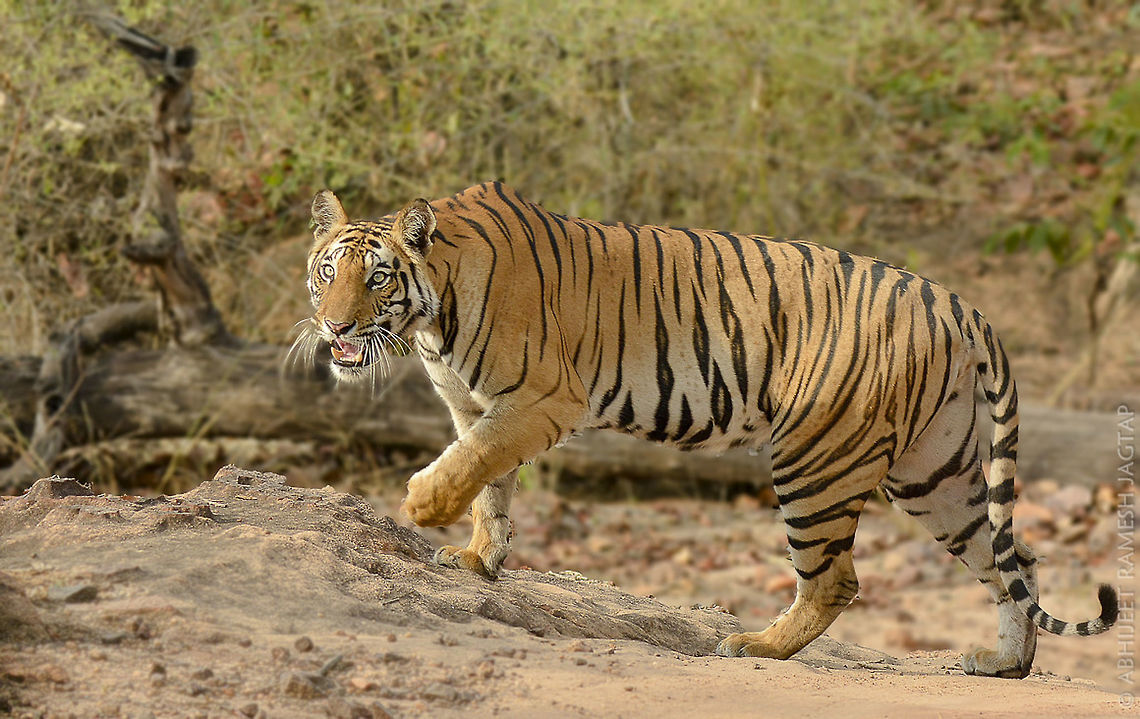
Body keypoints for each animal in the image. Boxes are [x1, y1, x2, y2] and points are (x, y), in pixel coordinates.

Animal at [296, 180, 1117, 678]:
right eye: (326, 272)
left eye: (376, 277)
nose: (333, 327)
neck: (432, 318)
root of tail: (960, 304)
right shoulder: (475, 404)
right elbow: (490, 484)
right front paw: (477, 560)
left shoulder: (541, 400)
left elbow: (472, 463)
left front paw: (424, 505)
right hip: (934, 474)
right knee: (1017, 557)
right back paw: (1006, 664)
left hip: (816, 456)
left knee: (837, 579)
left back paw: (754, 645)